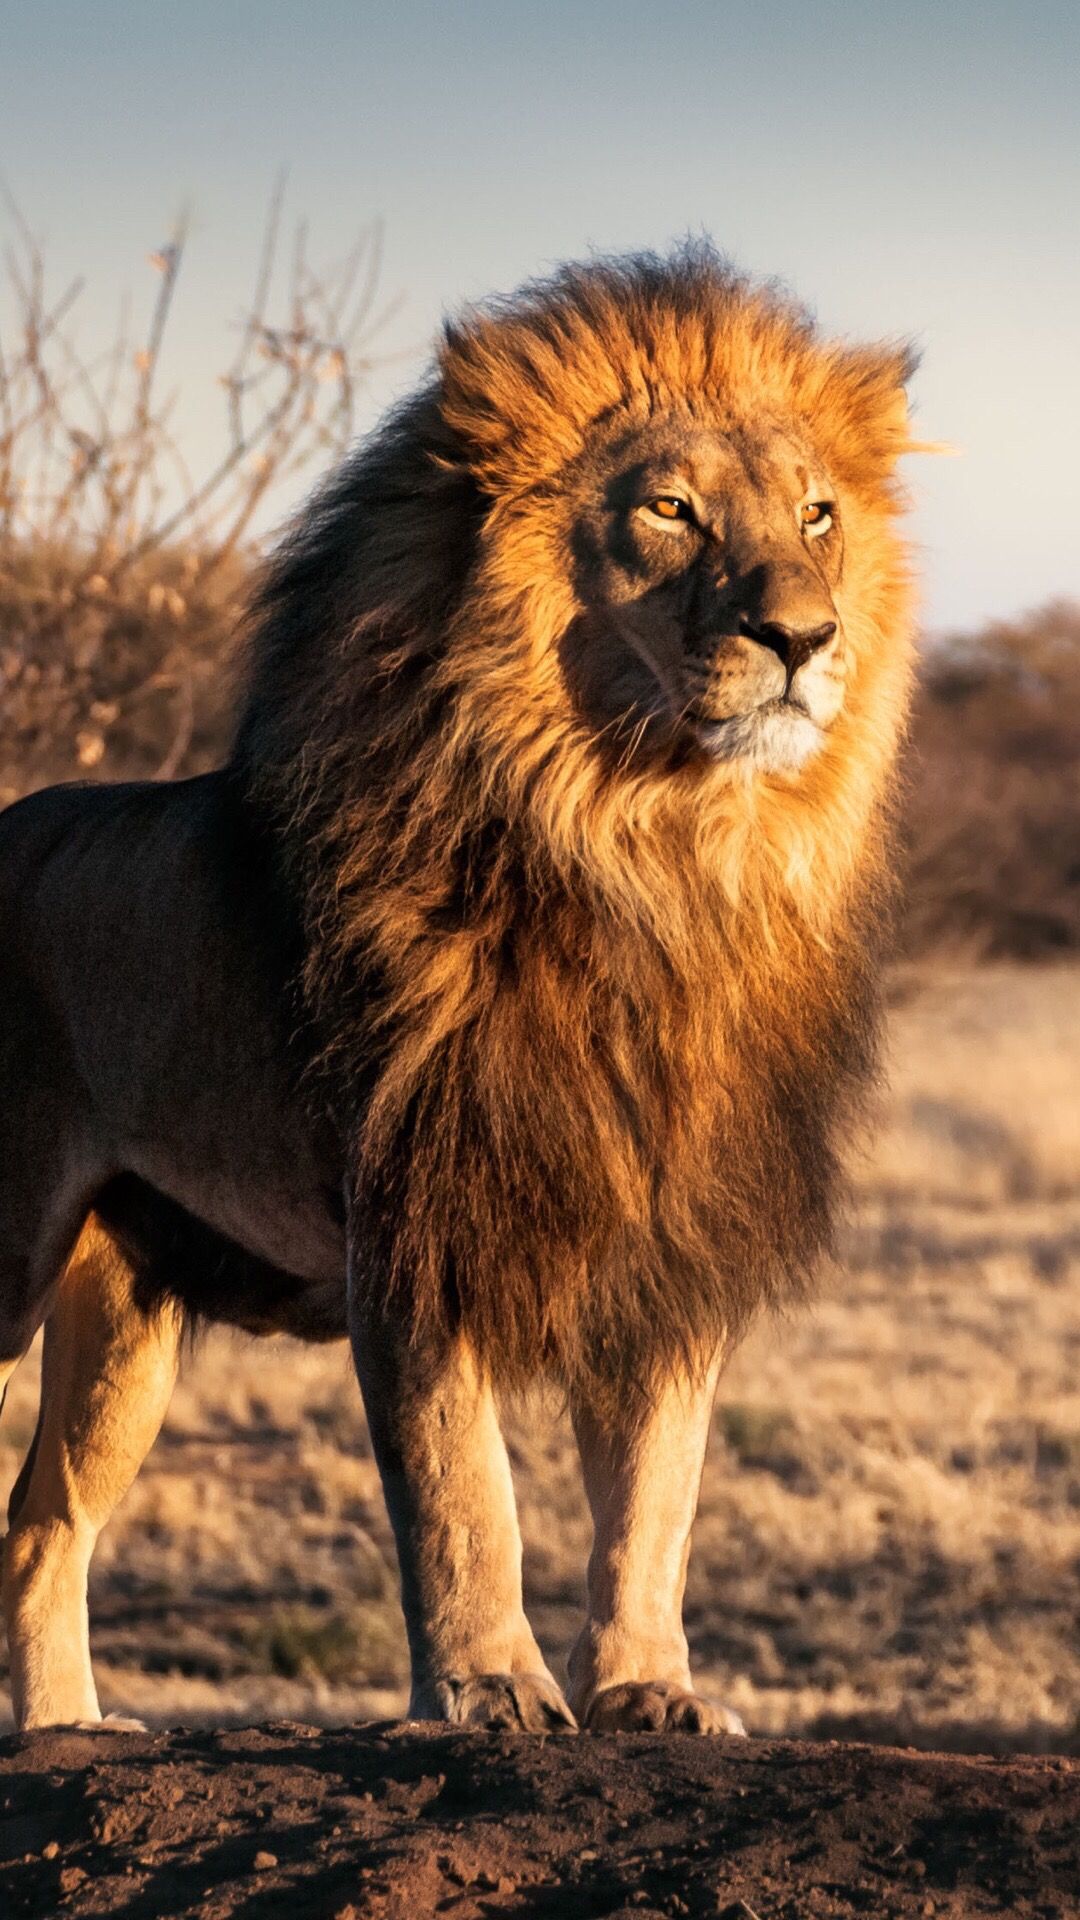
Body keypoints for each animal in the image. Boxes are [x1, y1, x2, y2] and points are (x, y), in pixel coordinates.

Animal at [0, 245, 922, 1735]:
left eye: (819, 515)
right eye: (669, 510)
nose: (802, 635)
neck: (653, 857)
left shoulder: (672, 1246)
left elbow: (657, 1497)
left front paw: (652, 1690)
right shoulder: (416, 1217)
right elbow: (460, 1486)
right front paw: (489, 1686)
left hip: (124, 1310)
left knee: (42, 1524)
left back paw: (70, 1727)